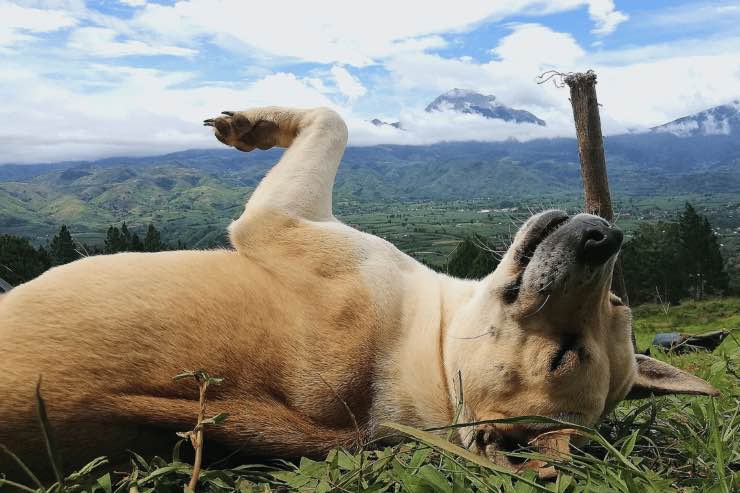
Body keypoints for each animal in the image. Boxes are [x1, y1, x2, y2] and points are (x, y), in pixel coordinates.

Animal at [0, 106, 716, 476]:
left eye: (564, 358)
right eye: (619, 303)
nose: (605, 237)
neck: (427, 359)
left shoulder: (277, 218)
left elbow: (332, 118)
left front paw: (257, 124)